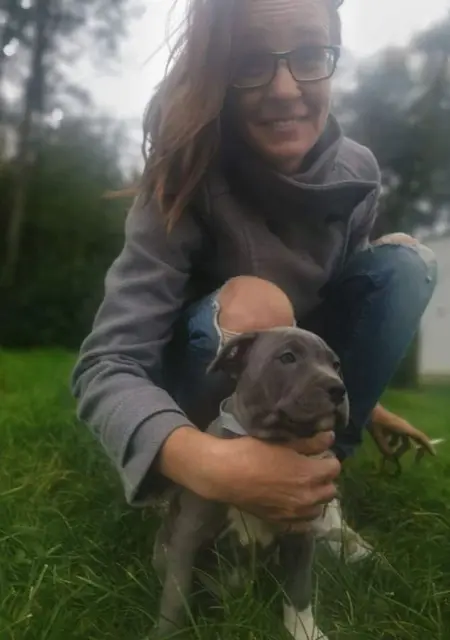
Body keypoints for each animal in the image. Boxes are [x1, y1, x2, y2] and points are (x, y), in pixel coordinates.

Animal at [152, 327, 350, 640]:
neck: (272, 444)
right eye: (288, 357)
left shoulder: (300, 536)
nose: (338, 388)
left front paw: (306, 630)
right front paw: (167, 632)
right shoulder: (188, 536)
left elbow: (299, 589)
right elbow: (176, 594)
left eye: (336, 365)